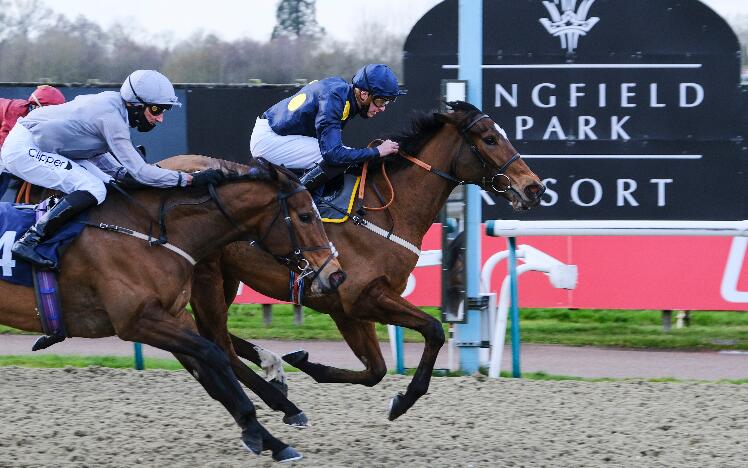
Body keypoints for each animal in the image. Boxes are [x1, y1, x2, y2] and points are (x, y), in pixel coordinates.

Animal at [0, 159, 344, 462]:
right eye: (305, 216)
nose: (336, 274)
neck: (150, 233)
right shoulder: (138, 321)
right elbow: (215, 356)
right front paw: (259, 425)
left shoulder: (172, 317)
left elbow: (210, 373)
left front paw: (270, 440)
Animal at [159, 101, 544, 424]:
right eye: (490, 139)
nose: (534, 188)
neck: (387, 210)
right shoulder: (359, 297)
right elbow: (433, 329)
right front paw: (404, 400)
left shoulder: (351, 308)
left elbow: (376, 370)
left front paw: (307, 363)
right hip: (206, 276)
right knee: (216, 341)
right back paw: (281, 398)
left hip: (225, 277)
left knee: (213, 336)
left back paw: (272, 364)